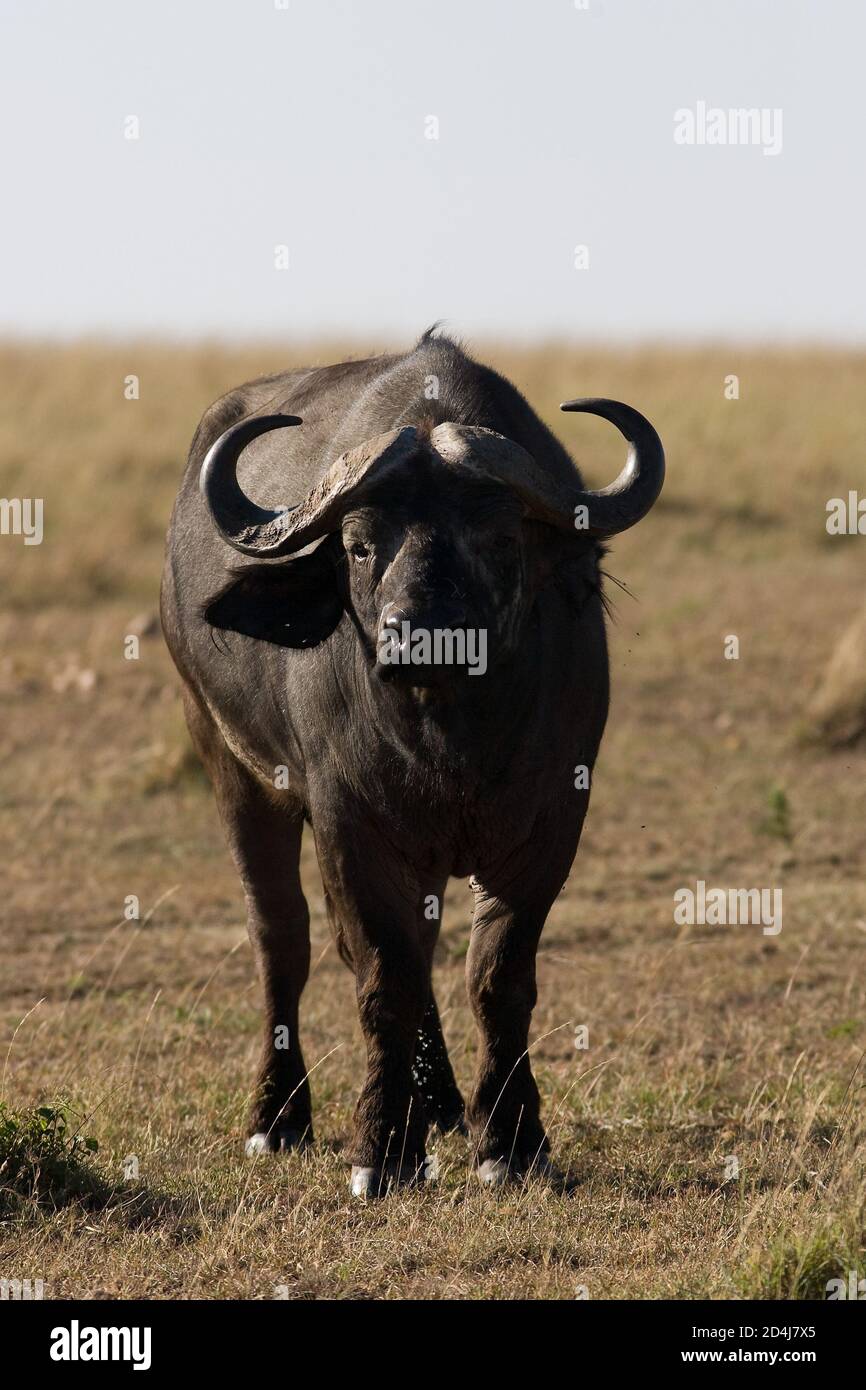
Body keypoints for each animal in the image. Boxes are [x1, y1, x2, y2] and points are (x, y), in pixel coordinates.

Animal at [162, 328, 664, 1195]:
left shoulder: (551, 821)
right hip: (230, 765)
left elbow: (495, 974)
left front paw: (510, 1141)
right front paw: (384, 1149)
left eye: (497, 539)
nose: (419, 635)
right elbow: (383, 976)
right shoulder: (353, 825)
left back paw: (444, 1108)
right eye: (362, 545)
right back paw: (279, 1117)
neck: (450, 734)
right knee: (282, 938)